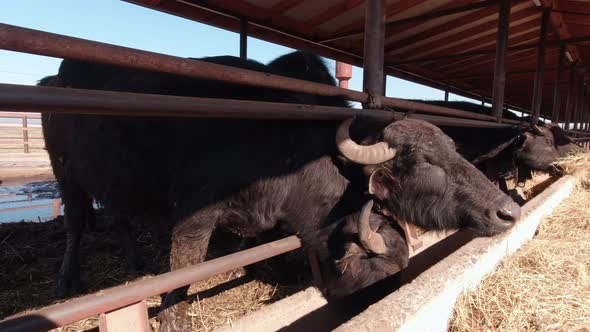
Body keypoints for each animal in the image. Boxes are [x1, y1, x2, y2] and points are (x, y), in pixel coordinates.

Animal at [40, 50, 524, 330]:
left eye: (453, 149)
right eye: (424, 161)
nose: (507, 212)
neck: (284, 149)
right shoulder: (195, 214)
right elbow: (183, 269)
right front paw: (174, 319)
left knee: (119, 219)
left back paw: (135, 261)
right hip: (67, 175)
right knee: (76, 223)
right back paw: (68, 278)